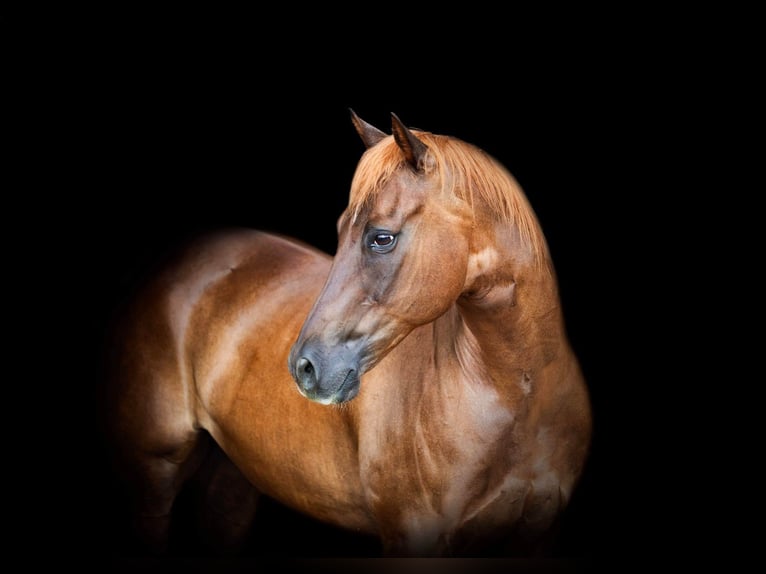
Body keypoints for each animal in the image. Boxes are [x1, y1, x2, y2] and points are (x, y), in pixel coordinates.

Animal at [103, 110, 592, 558]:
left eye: (382, 238)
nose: (304, 367)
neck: (517, 398)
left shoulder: (538, 539)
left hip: (233, 478)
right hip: (153, 476)